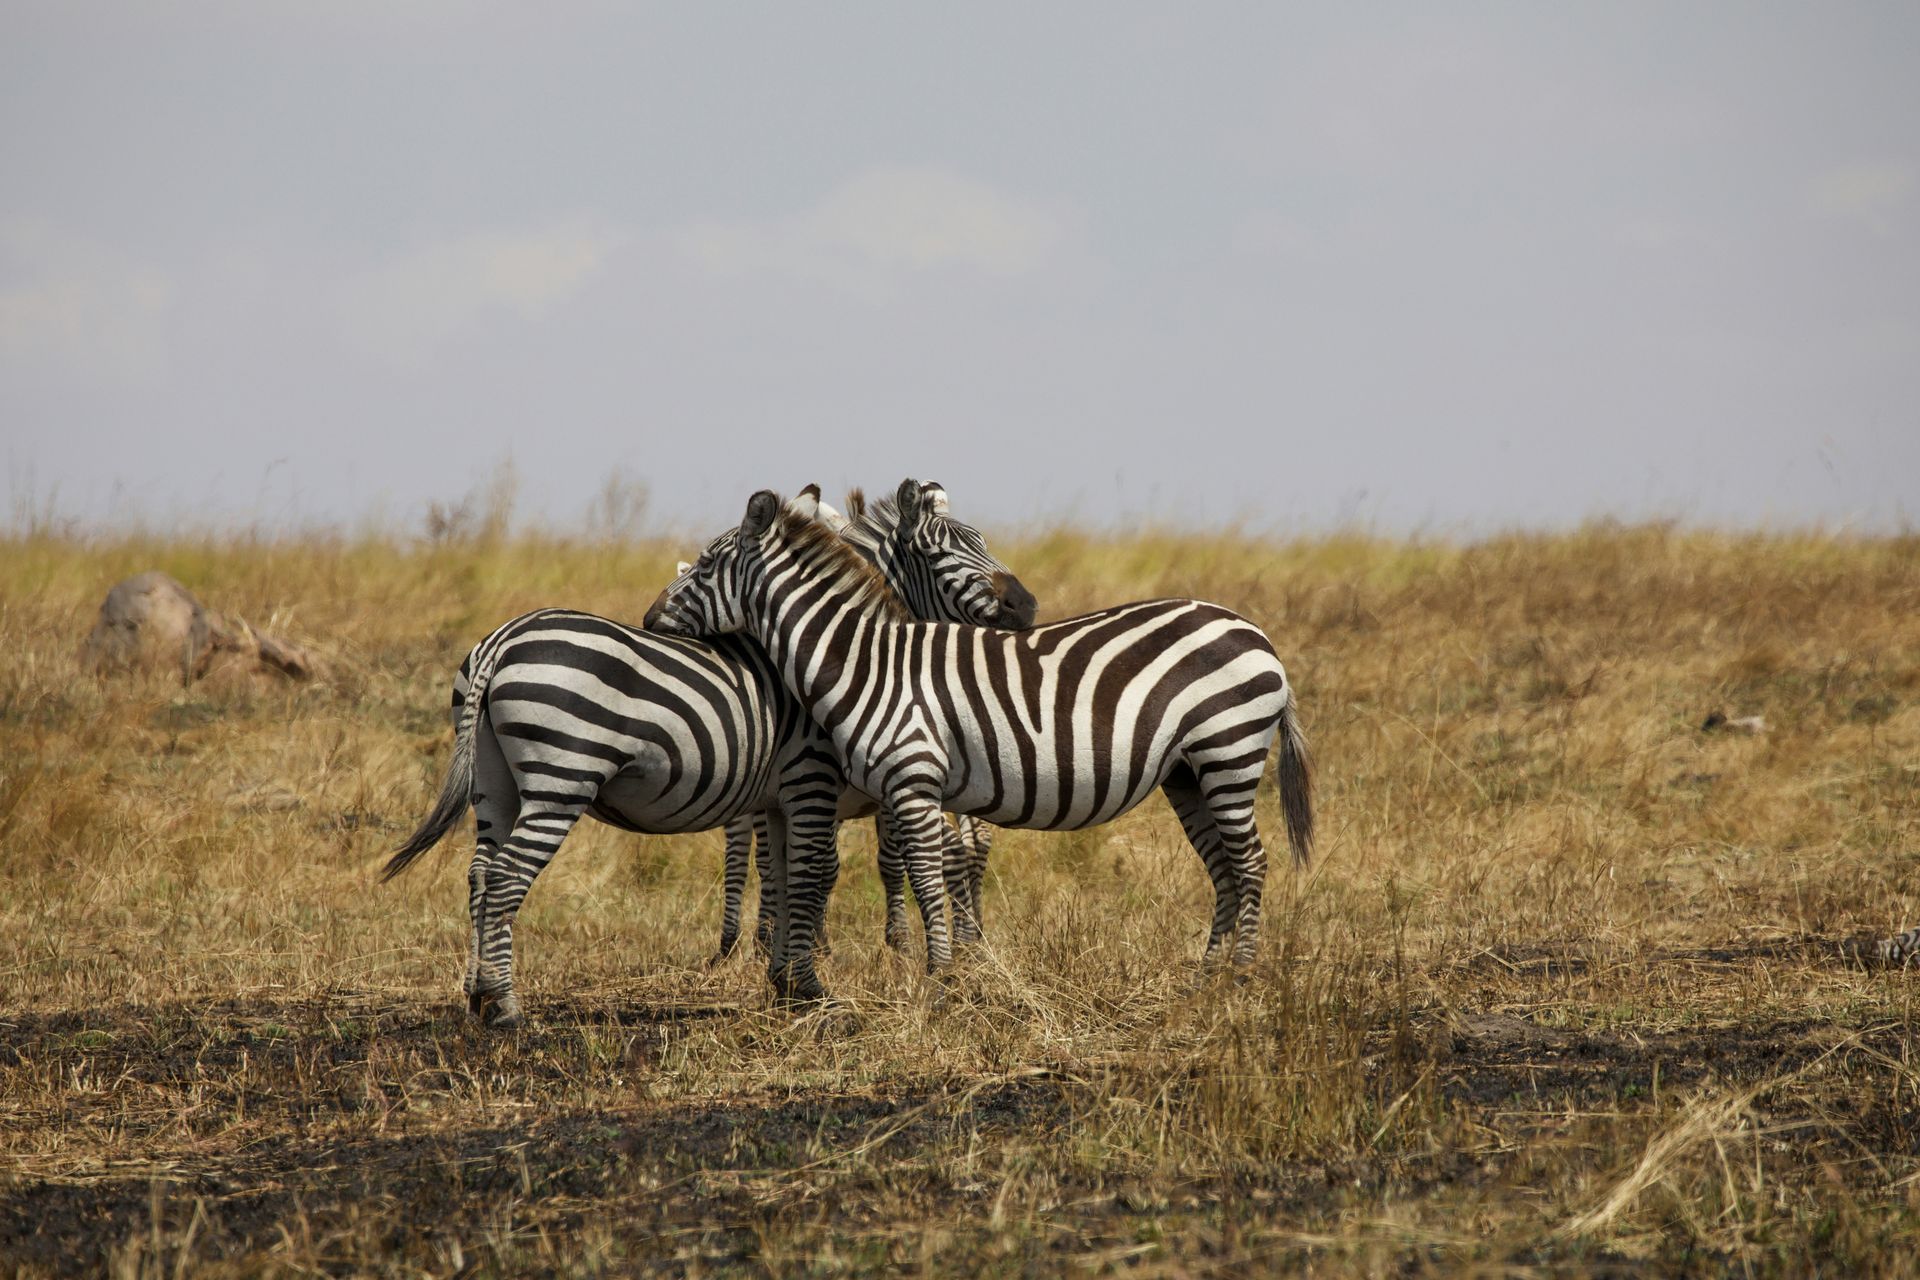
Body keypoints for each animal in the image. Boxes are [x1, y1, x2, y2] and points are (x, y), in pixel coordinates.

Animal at [386, 484, 1035, 1022]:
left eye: (983, 541)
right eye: (940, 552)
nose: (1027, 608)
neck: (847, 650)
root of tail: (501, 640)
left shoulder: (784, 792)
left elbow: (789, 873)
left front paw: (786, 978)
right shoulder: (816, 775)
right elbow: (823, 870)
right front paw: (815, 983)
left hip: (494, 783)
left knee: (479, 873)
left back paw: (476, 993)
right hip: (560, 777)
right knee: (505, 877)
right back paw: (506, 1006)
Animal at [643, 486, 1316, 976]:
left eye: (707, 563)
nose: (648, 619)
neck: (866, 658)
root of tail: (1255, 632)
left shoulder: (908, 780)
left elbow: (919, 869)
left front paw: (938, 973)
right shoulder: (915, 787)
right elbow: (920, 864)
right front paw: (948, 960)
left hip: (1228, 751)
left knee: (1250, 861)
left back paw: (1241, 974)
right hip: (1187, 773)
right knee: (1223, 865)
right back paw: (1207, 976)